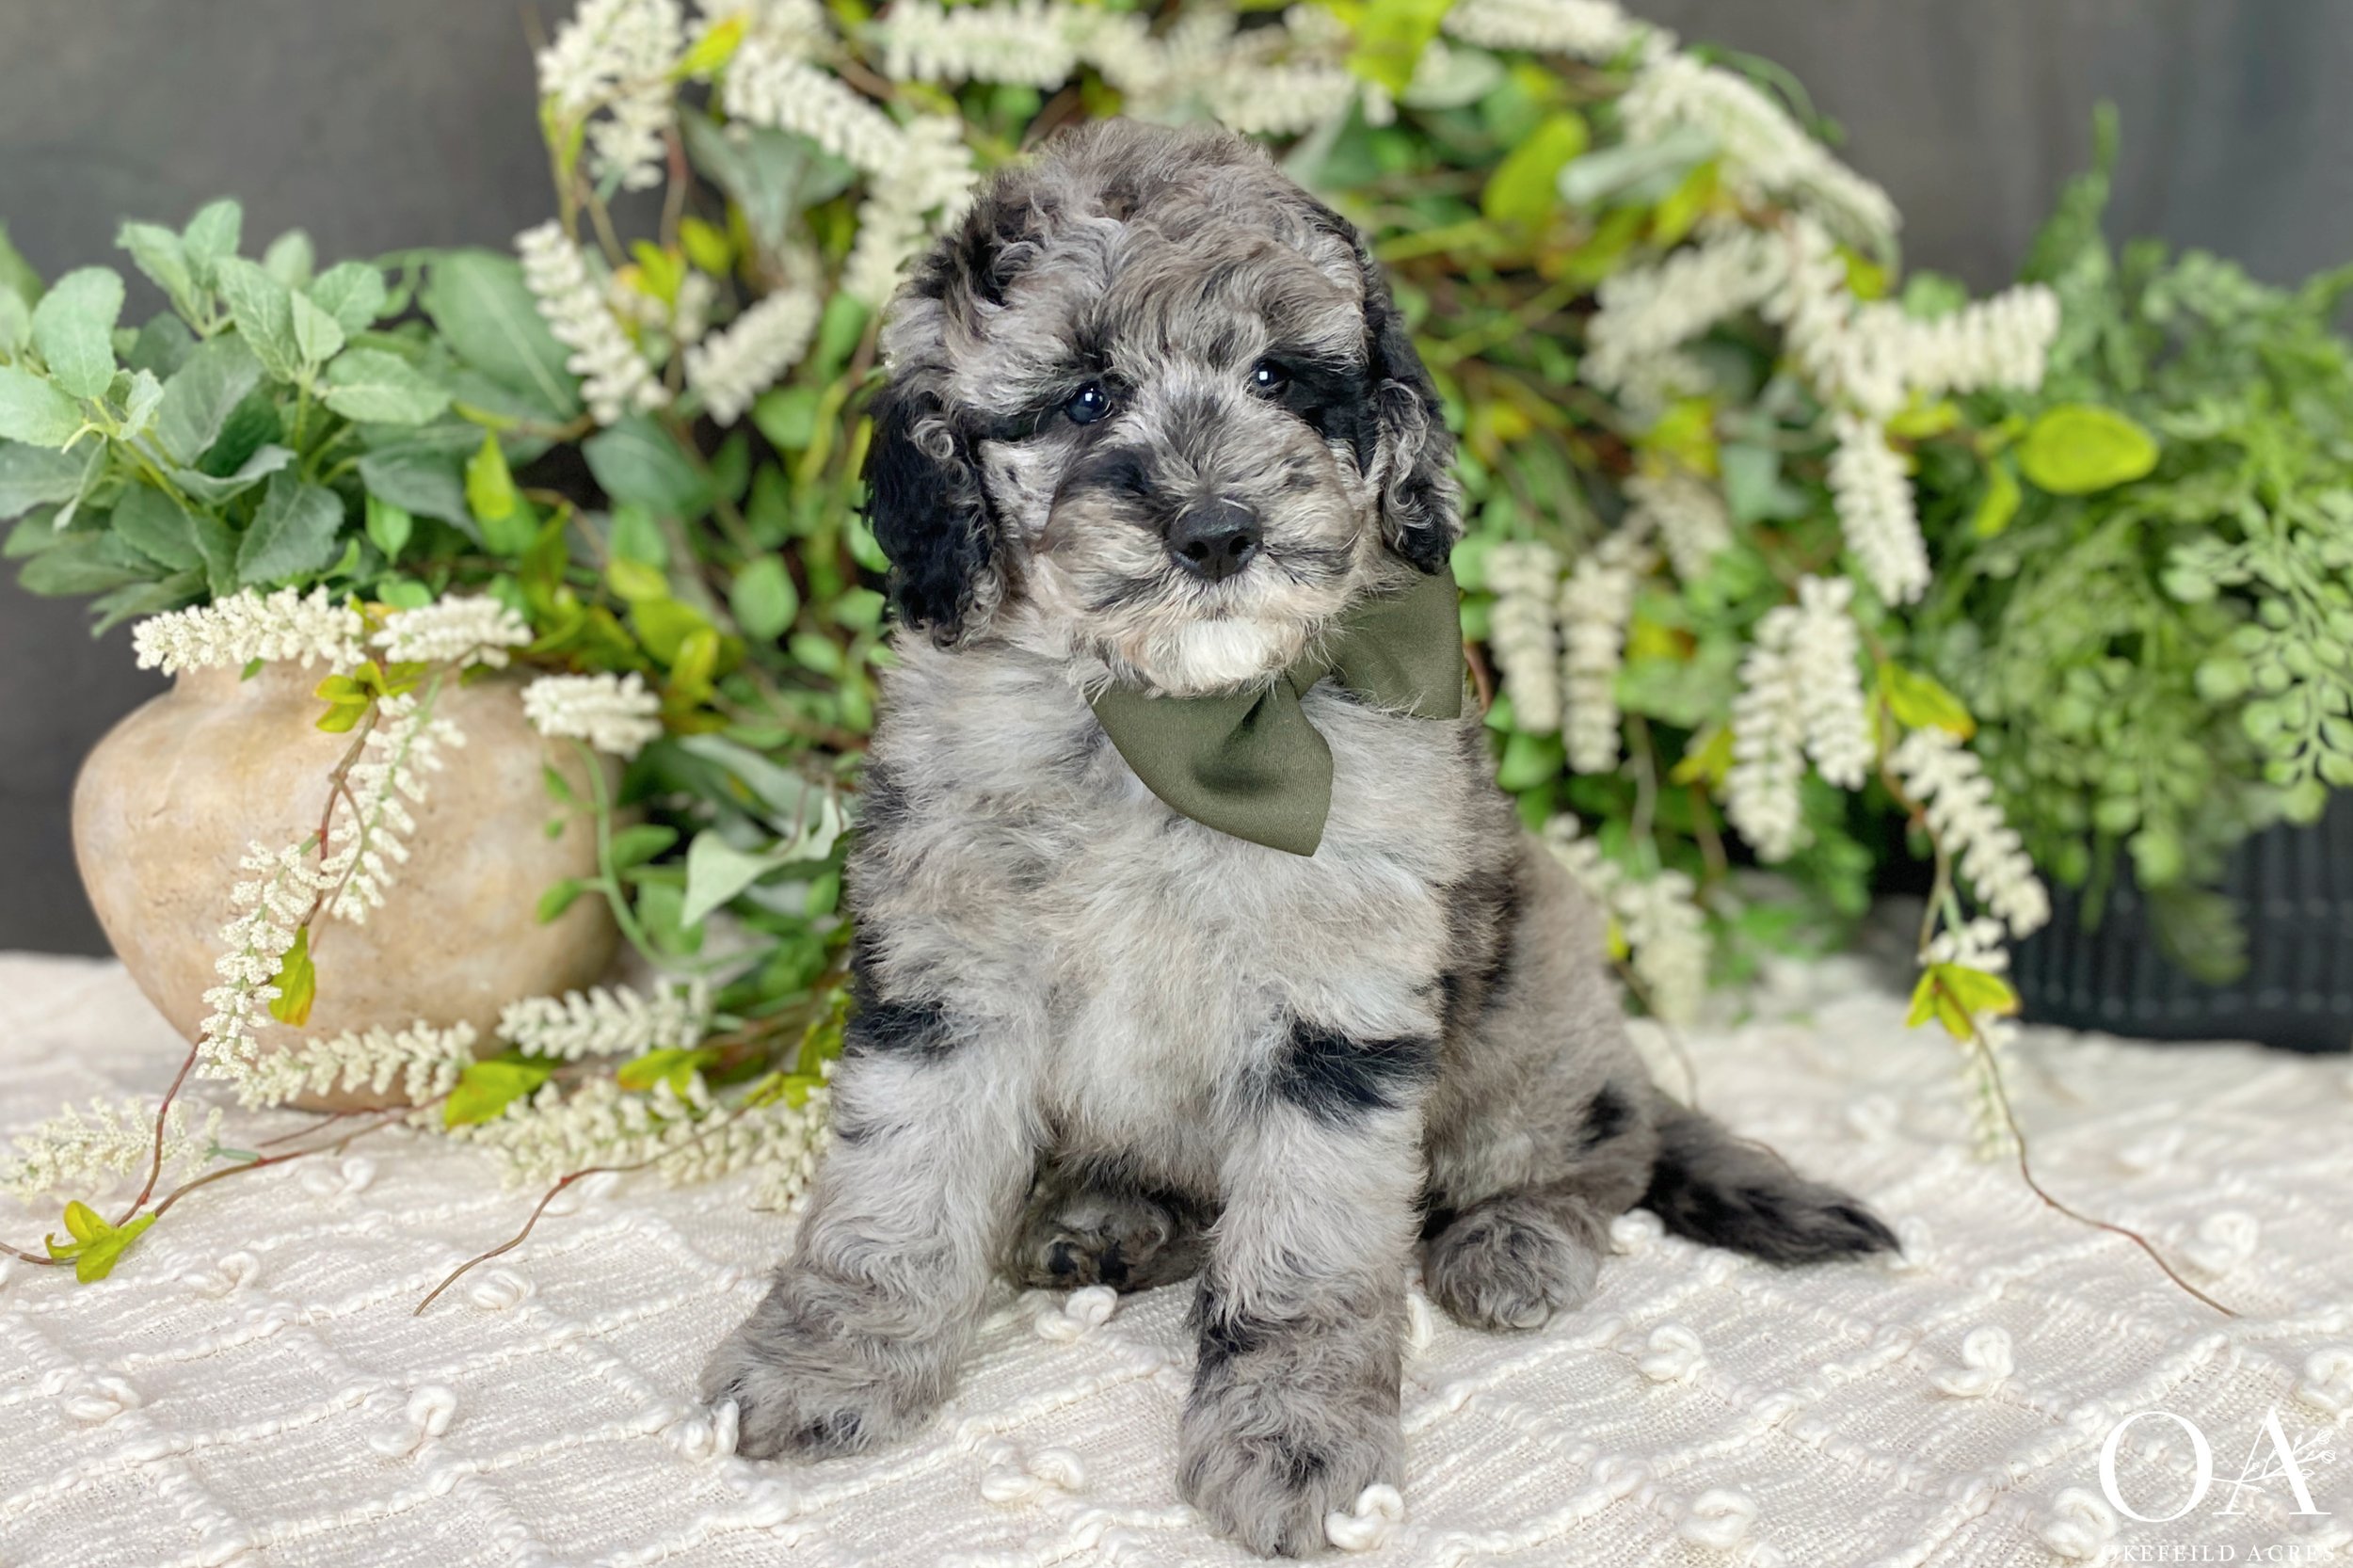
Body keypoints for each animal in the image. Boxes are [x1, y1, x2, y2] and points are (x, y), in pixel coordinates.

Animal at [696, 119, 1892, 1553]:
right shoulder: (945, 970)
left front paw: (1295, 1436)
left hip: (1532, 1007)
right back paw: (1105, 1221)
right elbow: (898, 1178)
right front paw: (834, 1358)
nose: (1218, 531)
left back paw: (1514, 1240)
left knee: (1599, 1149)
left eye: (1278, 375)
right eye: (1085, 396)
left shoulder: (1341, 1017)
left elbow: (1309, 1248)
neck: (1173, 724)